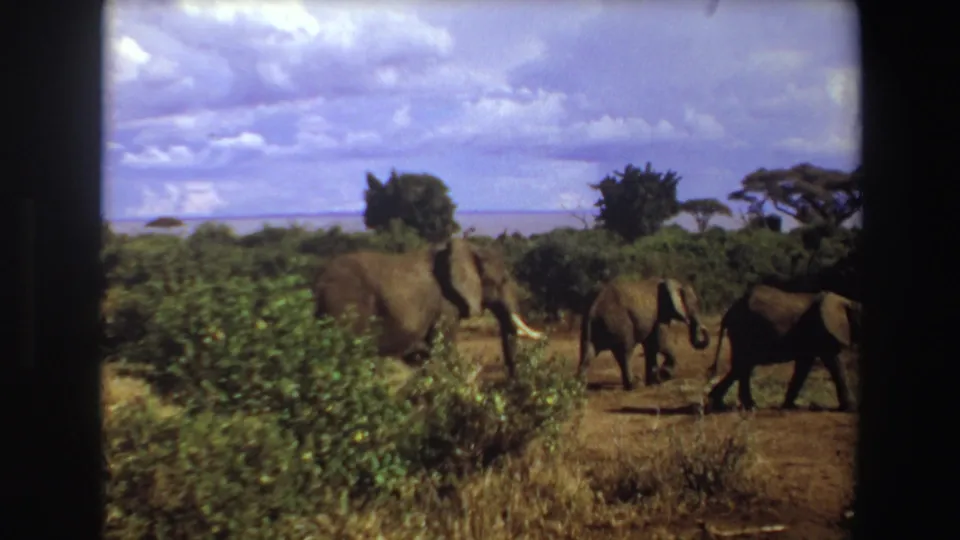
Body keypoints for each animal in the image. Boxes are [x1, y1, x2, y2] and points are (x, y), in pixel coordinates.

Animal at [313, 238, 544, 377]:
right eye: (503, 281)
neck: (467, 249)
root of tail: (318, 284)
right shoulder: (446, 306)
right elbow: (444, 349)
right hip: (347, 309)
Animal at [577, 277, 712, 391]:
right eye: (695, 304)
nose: (703, 329)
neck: (674, 283)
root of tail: (594, 304)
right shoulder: (660, 316)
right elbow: (659, 344)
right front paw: (663, 375)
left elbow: (651, 346)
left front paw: (654, 382)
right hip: (618, 321)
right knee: (625, 351)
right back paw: (635, 385)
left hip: (591, 324)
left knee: (587, 352)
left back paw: (580, 386)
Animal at [705, 284, 863, 412]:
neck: (847, 301)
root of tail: (730, 310)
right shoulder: (822, 330)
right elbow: (834, 363)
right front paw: (851, 409)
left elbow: (804, 366)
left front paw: (790, 406)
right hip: (744, 331)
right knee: (743, 364)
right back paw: (746, 406)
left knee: (742, 366)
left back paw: (721, 404)